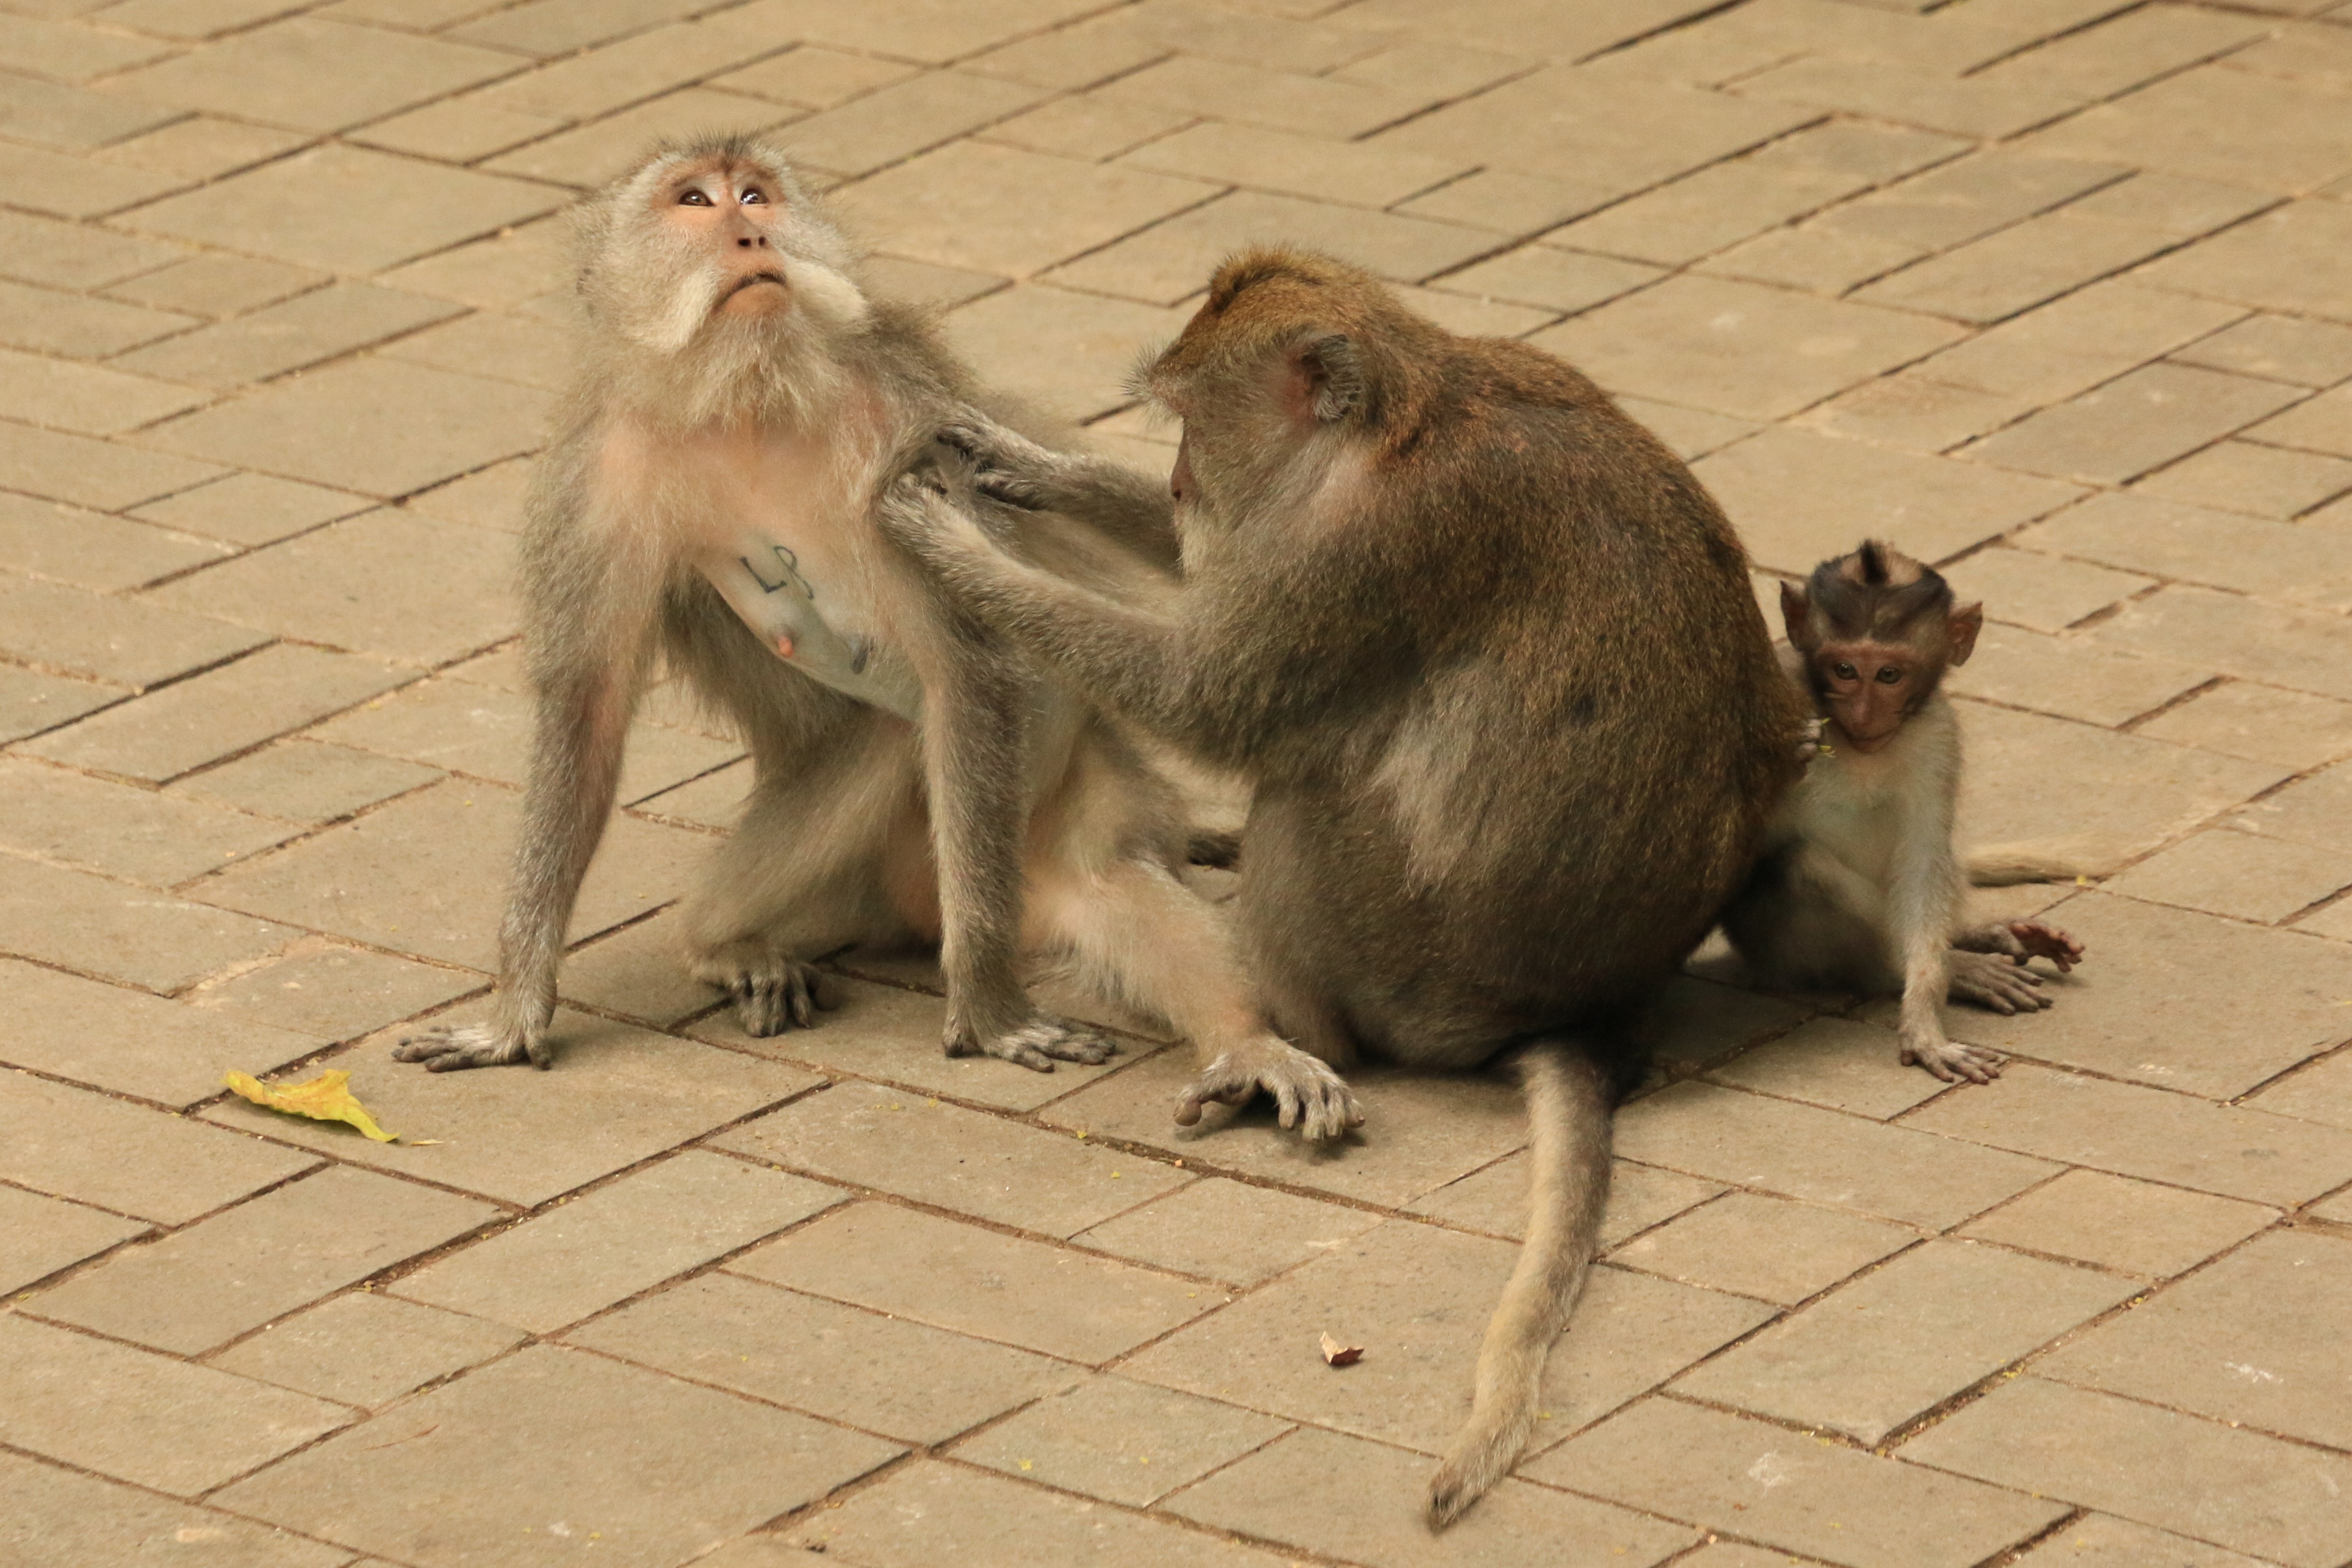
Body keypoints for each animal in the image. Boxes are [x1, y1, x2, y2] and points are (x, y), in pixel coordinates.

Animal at [393, 135, 1357, 1146]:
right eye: (693, 201)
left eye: (754, 195)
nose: (749, 232)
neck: (749, 399)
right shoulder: (600, 471)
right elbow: (587, 708)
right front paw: (514, 1009)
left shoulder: (902, 429)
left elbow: (967, 665)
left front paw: (987, 1009)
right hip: (858, 885)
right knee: (889, 747)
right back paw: (722, 941)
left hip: (1070, 815)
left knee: (1103, 877)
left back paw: (1245, 1042)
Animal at [876, 246, 1810, 1527]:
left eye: (1194, 417)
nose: (1180, 481)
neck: (1408, 412)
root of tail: (1585, 1012)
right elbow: (1207, 594)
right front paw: (1013, 462)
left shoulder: (1360, 547)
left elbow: (1208, 696)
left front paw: (954, 551)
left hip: (1393, 962)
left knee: (1308, 775)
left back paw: (1283, 1037)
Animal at [1720, 541, 2087, 1085]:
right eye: (1844, 670)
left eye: (1889, 675)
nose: (1864, 714)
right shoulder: (1778, 690)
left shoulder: (1937, 733)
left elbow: (1923, 860)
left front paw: (1924, 1019)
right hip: (1781, 953)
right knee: (1804, 865)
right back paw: (1954, 967)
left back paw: (1975, 937)